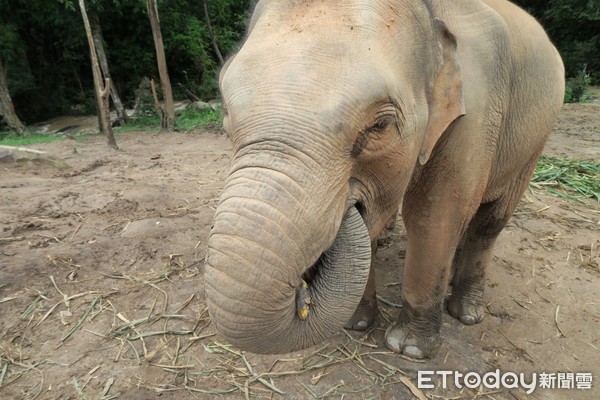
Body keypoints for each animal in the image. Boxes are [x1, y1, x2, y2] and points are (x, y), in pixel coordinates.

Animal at [204, 0, 564, 358]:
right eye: (227, 116)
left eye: (380, 125)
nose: (301, 295)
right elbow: (374, 230)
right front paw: (355, 325)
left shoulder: (476, 111)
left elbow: (434, 215)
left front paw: (408, 347)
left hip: (534, 139)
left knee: (489, 219)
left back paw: (466, 313)